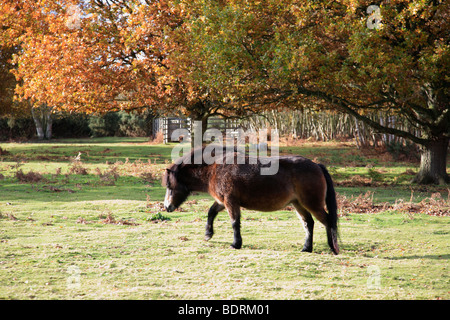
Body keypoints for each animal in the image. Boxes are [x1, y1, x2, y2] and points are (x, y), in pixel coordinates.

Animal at [163, 148, 340, 255]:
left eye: (170, 186)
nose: (167, 207)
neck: (216, 168)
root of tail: (316, 165)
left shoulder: (230, 202)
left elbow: (235, 222)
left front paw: (236, 244)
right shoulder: (222, 202)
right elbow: (211, 212)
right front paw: (208, 234)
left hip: (312, 204)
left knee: (328, 221)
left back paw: (333, 247)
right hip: (298, 204)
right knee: (308, 223)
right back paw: (306, 248)